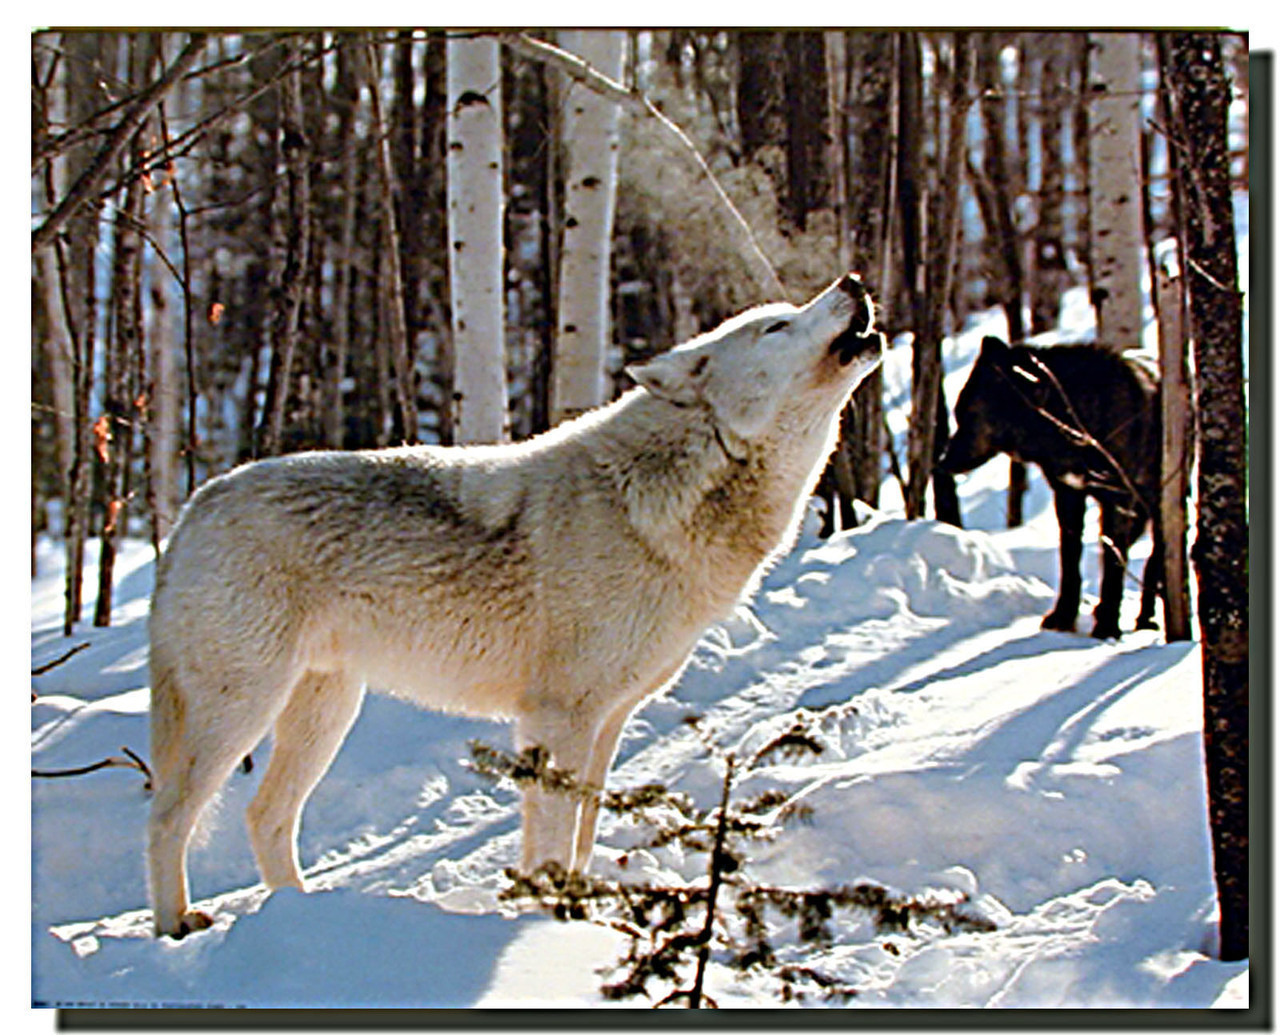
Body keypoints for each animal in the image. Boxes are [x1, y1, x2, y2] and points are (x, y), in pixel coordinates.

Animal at [146, 274, 883, 937]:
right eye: (777, 326)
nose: (853, 279)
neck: (664, 499)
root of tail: (194, 507)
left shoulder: (607, 723)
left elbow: (580, 837)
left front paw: (577, 917)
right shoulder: (558, 717)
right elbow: (554, 841)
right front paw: (551, 927)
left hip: (324, 713)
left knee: (264, 816)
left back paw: (298, 919)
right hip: (244, 709)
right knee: (170, 813)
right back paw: (177, 924)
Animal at [937, 336, 1161, 639]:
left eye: (968, 415)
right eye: (958, 413)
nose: (941, 463)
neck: (1074, 420)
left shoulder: (1117, 500)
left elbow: (1112, 566)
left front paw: (1107, 628)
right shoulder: (1068, 495)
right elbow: (1070, 561)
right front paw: (1064, 617)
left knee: (1154, 560)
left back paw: (1146, 619)